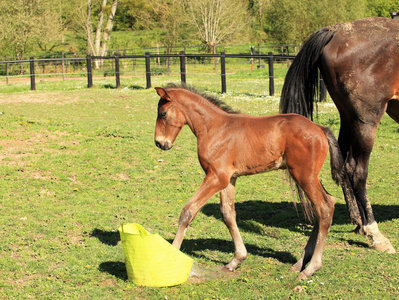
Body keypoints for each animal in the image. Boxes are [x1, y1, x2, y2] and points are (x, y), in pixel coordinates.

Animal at [282, 16, 399, 254]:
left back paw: (359, 222)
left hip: (348, 116)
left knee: (344, 165)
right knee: (358, 172)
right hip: (365, 121)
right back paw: (374, 232)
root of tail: (335, 30)